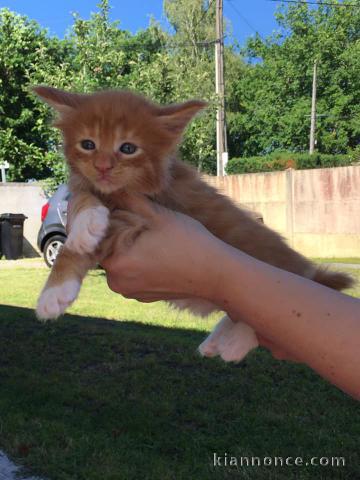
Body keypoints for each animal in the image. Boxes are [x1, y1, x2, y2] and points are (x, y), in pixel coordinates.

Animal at [33, 86, 352, 362]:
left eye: (128, 148)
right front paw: (86, 222)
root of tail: (307, 272)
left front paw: (53, 291)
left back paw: (235, 342)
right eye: (88, 144)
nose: (102, 166)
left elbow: (73, 246)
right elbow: (82, 196)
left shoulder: (139, 219)